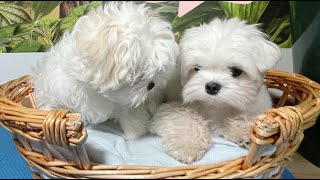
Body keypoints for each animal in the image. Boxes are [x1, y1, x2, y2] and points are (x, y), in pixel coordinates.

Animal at [31, 1, 180, 139]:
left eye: (155, 70)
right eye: (138, 73)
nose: (152, 85)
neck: (97, 93)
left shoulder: (128, 104)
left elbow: (132, 116)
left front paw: (133, 134)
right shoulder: (59, 88)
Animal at [150, 17, 280, 163]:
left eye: (236, 71)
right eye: (197, 68)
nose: (212, 86)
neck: (217, 106)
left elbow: (244, 117)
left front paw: (245, 131)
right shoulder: (171, 108)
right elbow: (186, 118)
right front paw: (186, 147)